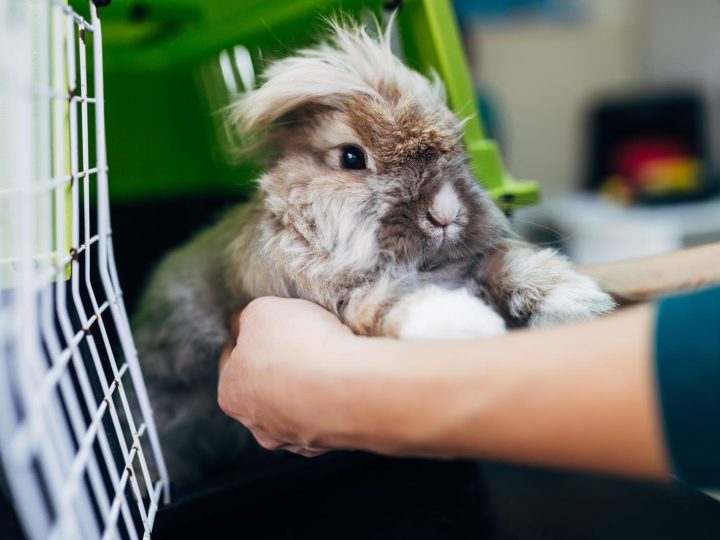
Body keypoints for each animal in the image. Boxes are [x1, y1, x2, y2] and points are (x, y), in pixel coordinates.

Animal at [132, 19, 615, 492]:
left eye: (459, 153)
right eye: (351, 157)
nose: (445, 213)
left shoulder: (476, 264)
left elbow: (509, 266)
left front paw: (579, 301)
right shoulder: (343, 296)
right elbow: (394, 300)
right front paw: (465, 323)